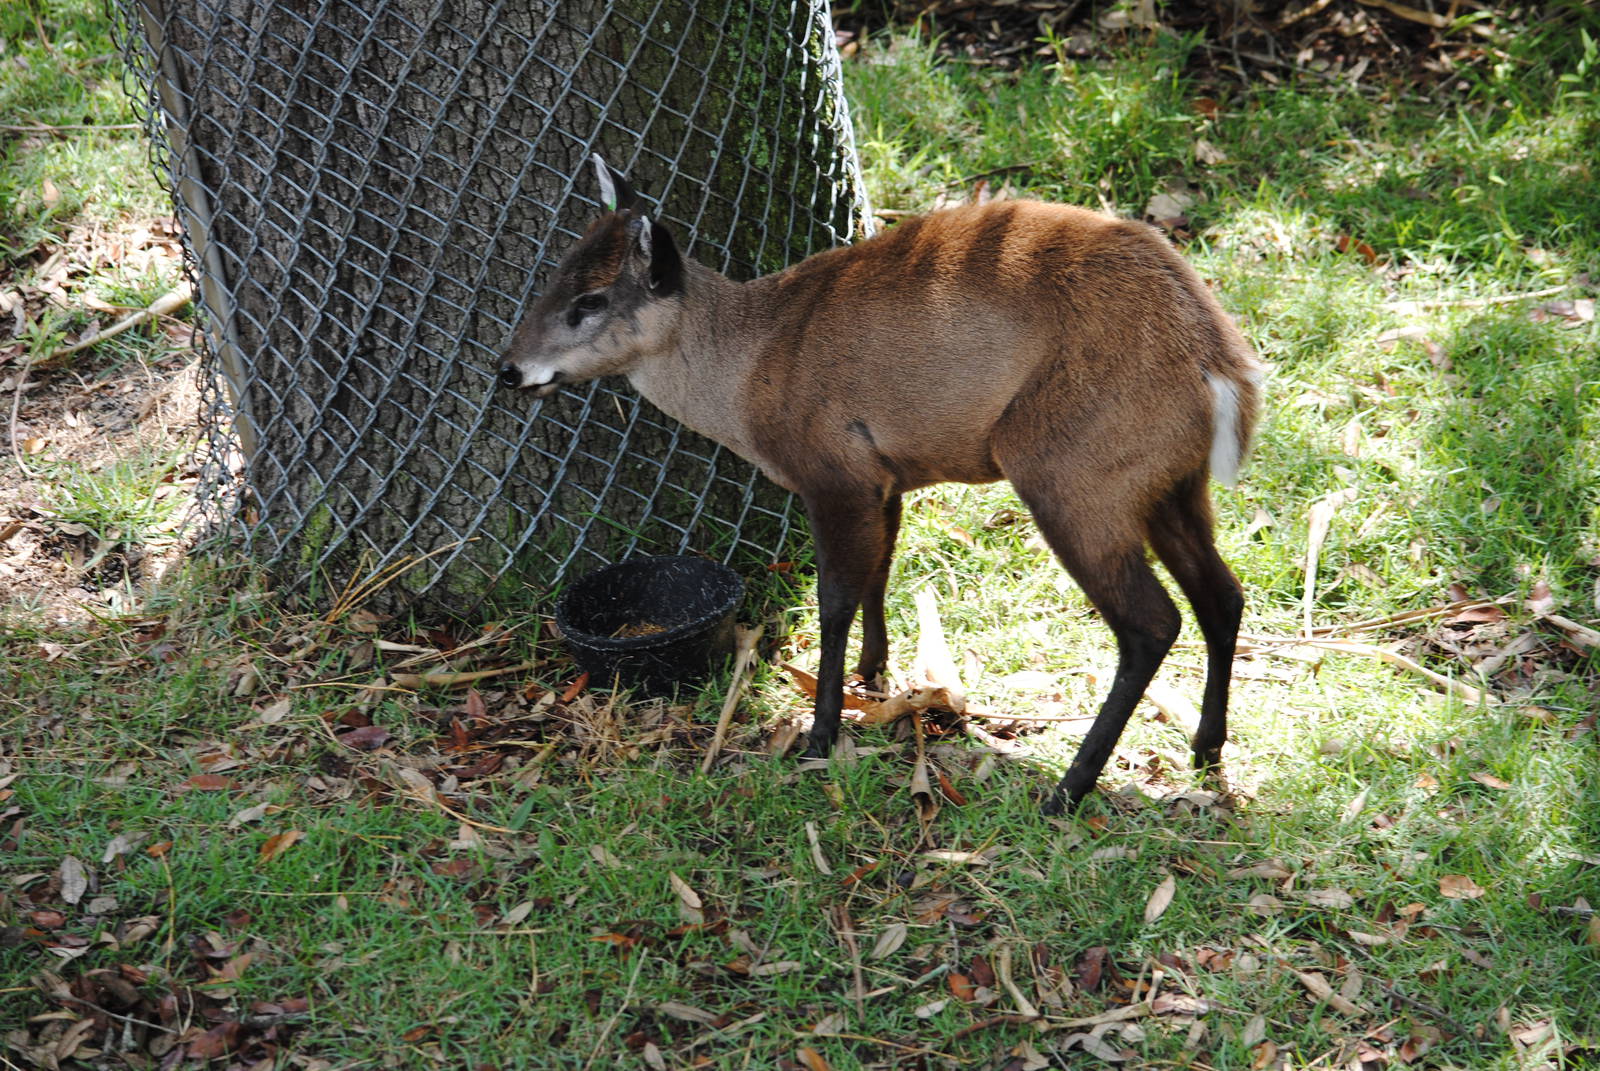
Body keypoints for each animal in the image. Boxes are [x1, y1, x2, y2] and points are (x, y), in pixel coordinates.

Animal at [499, 155, 1263, 813]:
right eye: (553, 276)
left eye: (591, 300)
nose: (508, 369)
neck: (749, 371)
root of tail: (1220, 363)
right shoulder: (885, 477)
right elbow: (880, 572)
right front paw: (875, 677)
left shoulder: (832, 470)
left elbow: (833, 598)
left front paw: (820, 732)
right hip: (1169, 483)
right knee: (1222, 594)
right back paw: (1204, 749)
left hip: (1070, 470)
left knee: (1151, 622)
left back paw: (1067, 791)